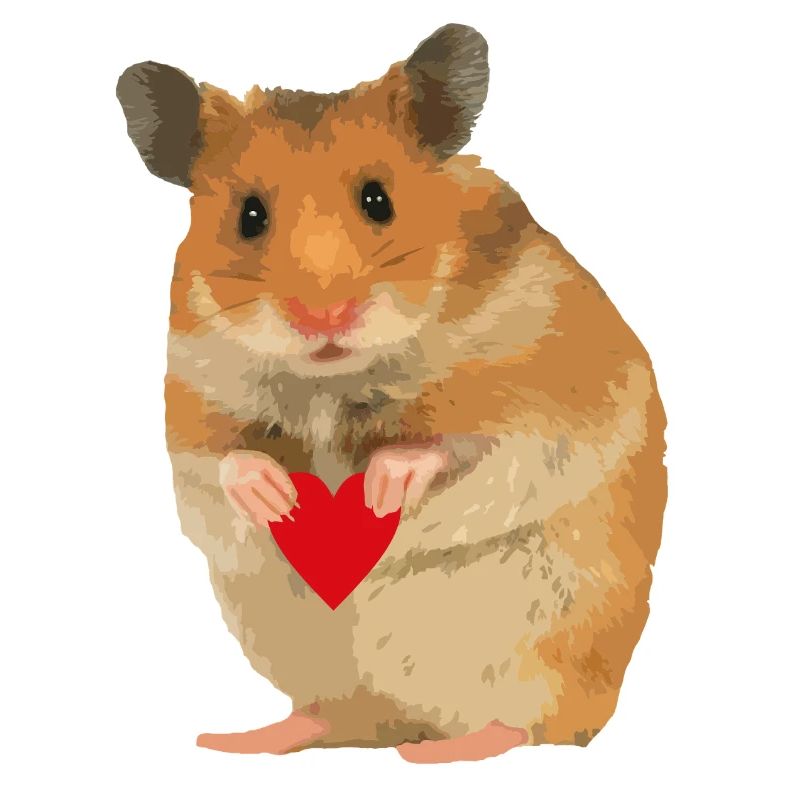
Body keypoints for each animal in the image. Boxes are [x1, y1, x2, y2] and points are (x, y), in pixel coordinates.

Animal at [116, 23, 667, 762]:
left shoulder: (545, 397)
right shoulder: (192, 401)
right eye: (249, 216)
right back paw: (236, 739)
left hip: (542, 648)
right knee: (337, 719)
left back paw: (438, 751)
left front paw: (379, 489)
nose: (323, 317)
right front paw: (281, 499)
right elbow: (225, 461)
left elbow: (464, 446)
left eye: (379, 200)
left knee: (532, 726)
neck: (334, 378)